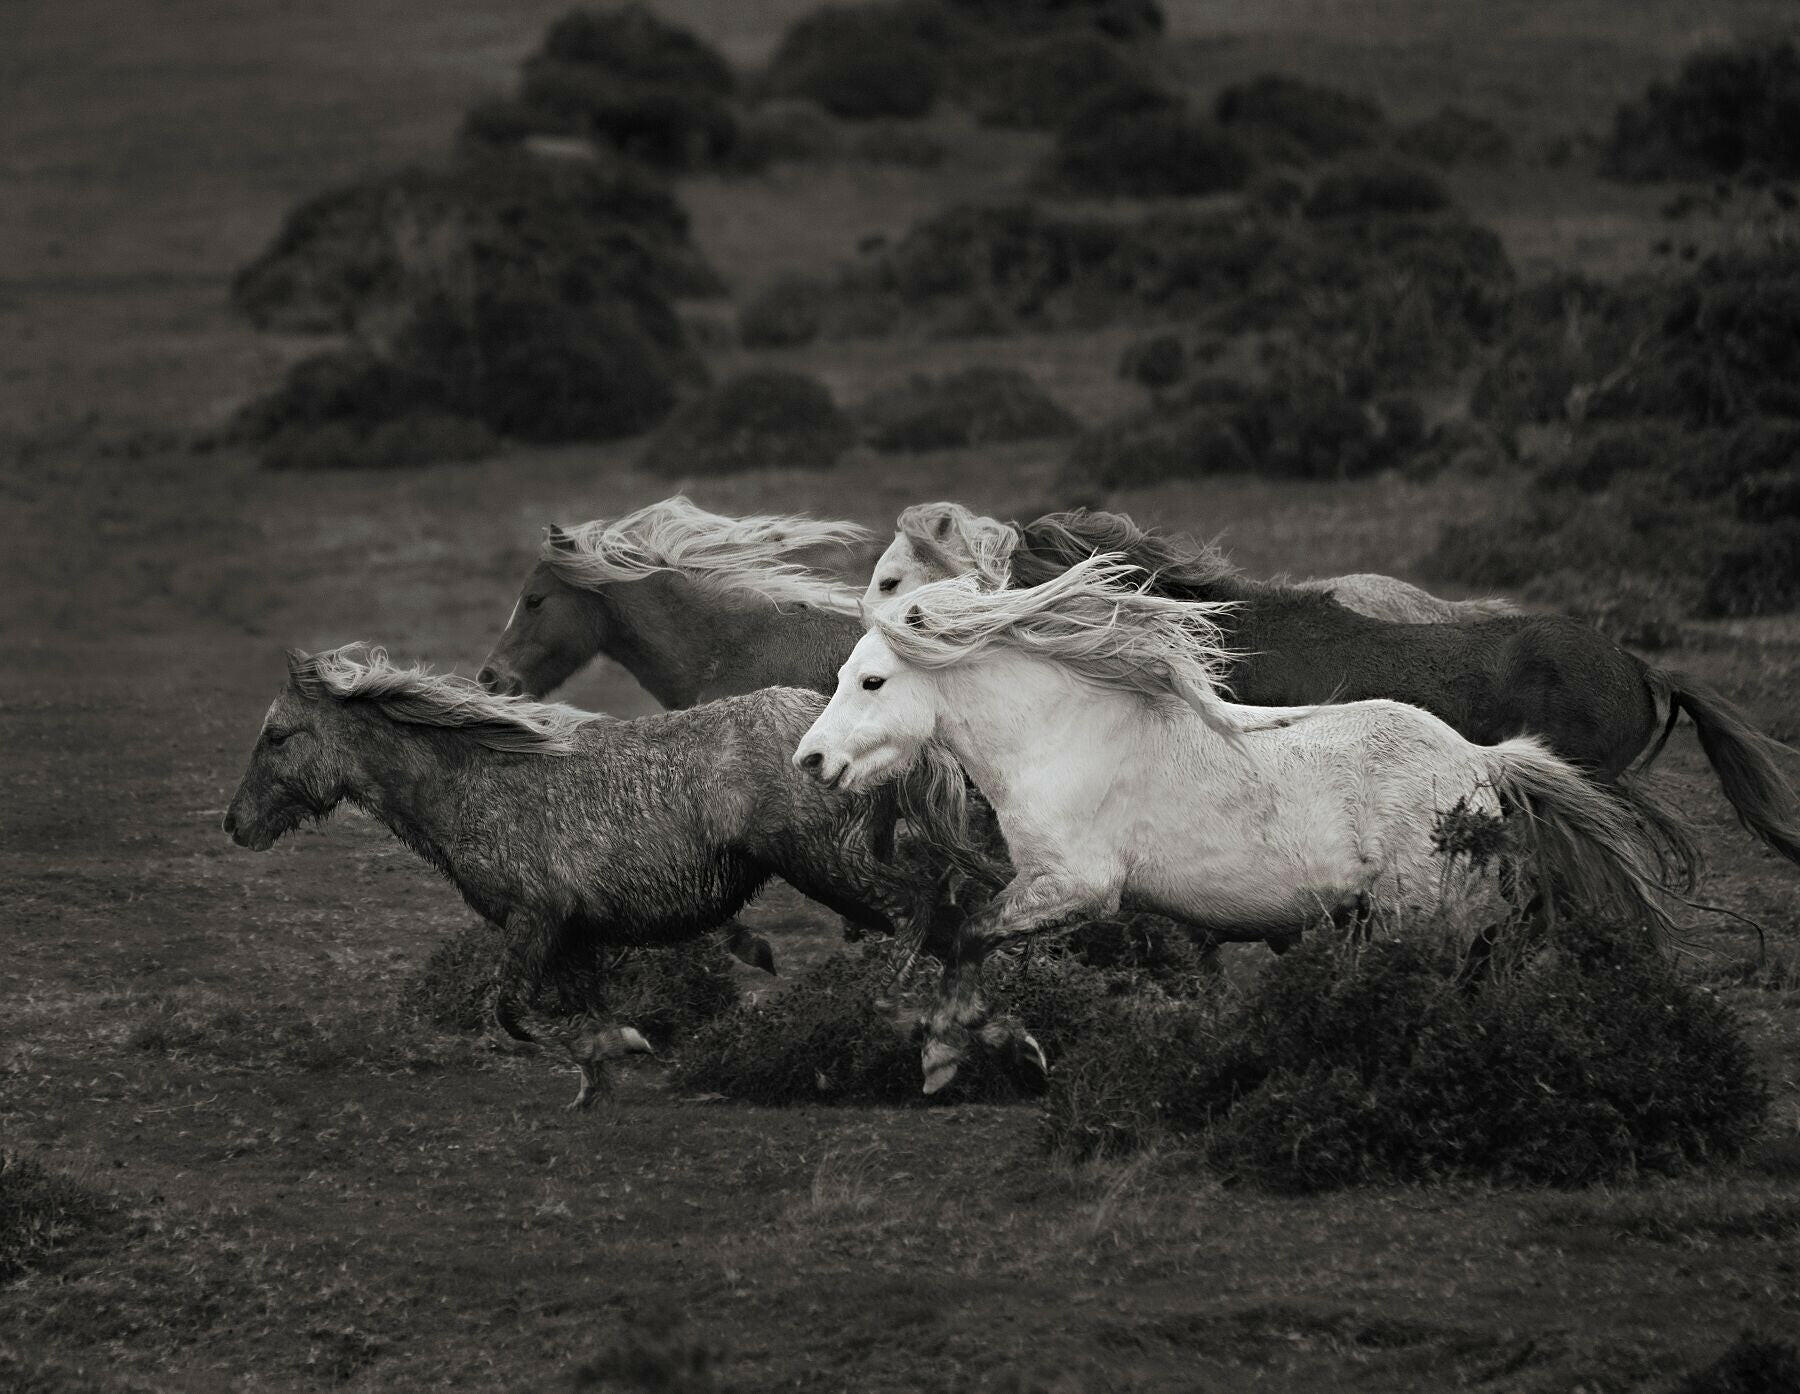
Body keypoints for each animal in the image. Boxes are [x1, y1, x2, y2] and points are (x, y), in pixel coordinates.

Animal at [223, 645, 969, 1109]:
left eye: (278, 736)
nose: (236, 825)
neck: (478, 783)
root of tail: (832, 734)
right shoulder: (572, 936)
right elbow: (568, 1007)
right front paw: (594, 1085)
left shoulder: (536, 919)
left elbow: (513, 1011)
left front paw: (620, 1044)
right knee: (944, 922)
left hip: (822, 864)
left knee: (918, 904)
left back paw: (891, 1006)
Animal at [795, 559, 1679, 1093]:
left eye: (872, 681)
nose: (810, 759)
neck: (1062, 735)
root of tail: (1481, 762)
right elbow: (969, 936)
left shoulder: (1076, 887)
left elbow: (969, 935)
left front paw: (956, 1050)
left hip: (1423, 917)